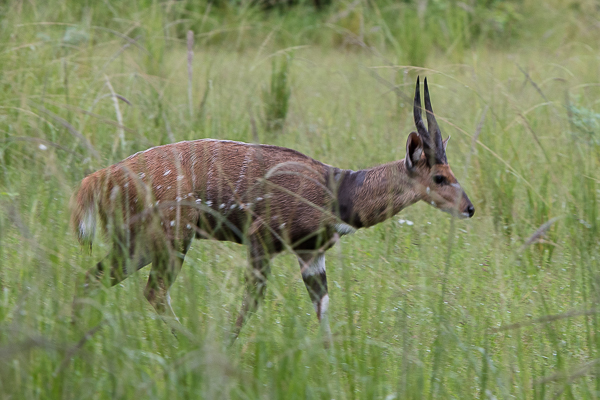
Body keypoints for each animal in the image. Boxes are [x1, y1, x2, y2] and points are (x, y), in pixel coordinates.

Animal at [70, 77, 474, 340]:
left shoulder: (312, 256)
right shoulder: (260, 239)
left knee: (92, 278)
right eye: (439, 176)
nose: (470, 208)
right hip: (172, 237)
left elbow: (323, 310)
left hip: (137, 242)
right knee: (152, 292)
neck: (339, 190)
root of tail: (102, 177)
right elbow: (251, 303)